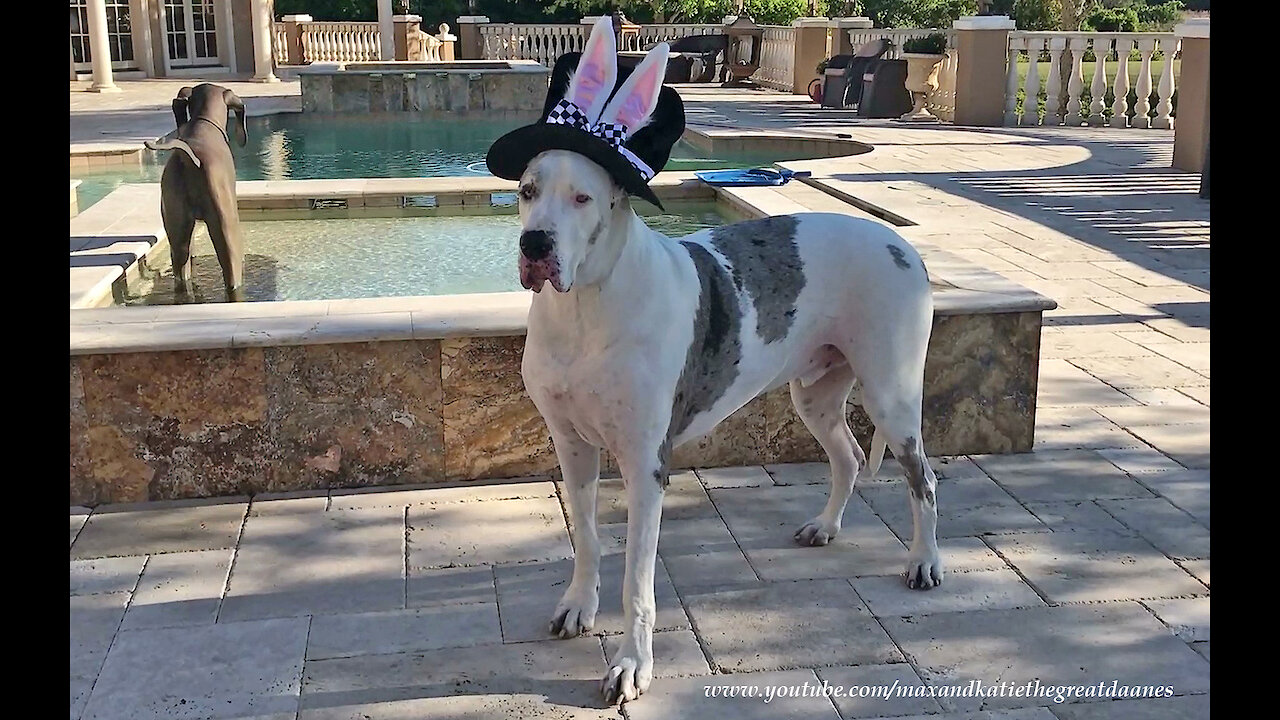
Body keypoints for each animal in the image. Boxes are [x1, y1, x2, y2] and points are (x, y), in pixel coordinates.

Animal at [504, 16, 936, 702]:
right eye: (527, 191)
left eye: (583, 199)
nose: (535, 244)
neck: (586, 313)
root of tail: (901, 242)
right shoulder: (572, 447)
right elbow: (588, 540)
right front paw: (577, 606)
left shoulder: (645, 463)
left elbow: (637, 580)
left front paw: (632, 664)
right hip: (815, 394)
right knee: (849, 456)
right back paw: (825, 527)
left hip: (892, 396)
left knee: (924, 480)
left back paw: (924, 562)